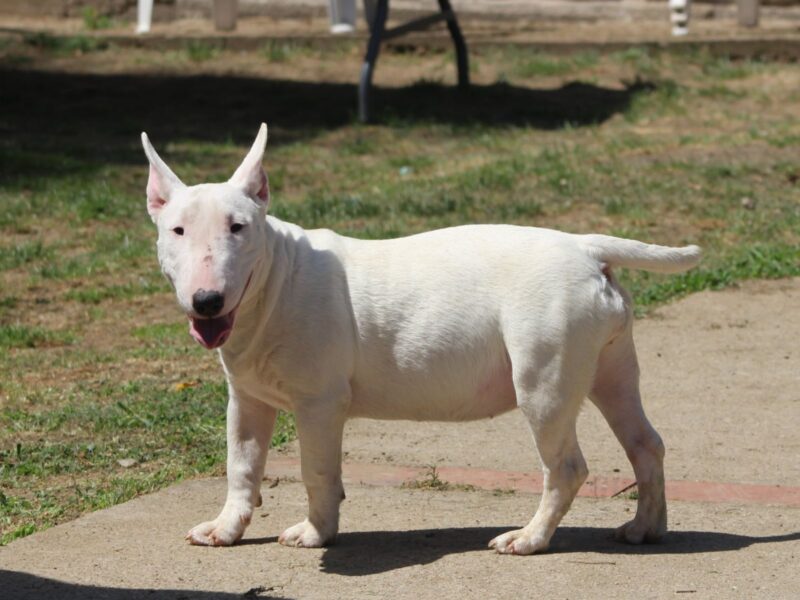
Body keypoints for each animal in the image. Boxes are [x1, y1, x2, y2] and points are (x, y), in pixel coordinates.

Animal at [142, 124, 700, 556]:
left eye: (238, 227)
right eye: (177, 231)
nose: (207, 301)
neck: (277, 281)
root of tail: (586, 248)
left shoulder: (320, 403)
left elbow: (317, 470)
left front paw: (315, 534)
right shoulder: (247, 398)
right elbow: (241, 465)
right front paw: (225, 529)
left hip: (546, 379)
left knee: (566, 466)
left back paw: (529, 538)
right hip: (611, 367)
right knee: (646, 443)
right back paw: (645, 528)